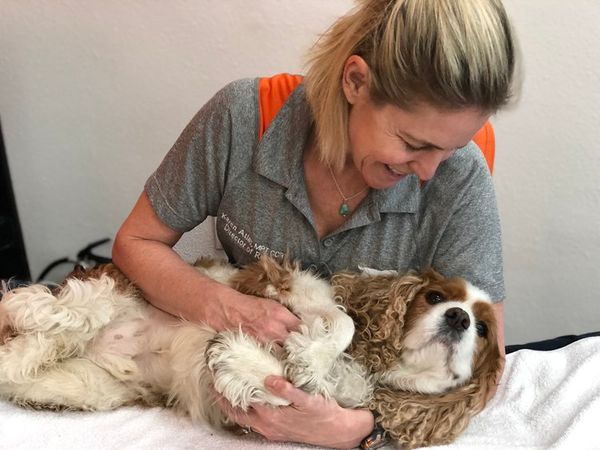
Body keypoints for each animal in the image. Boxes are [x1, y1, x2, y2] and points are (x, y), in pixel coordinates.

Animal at [0, 255, 500, 448]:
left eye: (484, 330)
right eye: (435, 297)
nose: (460, 319)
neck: (371, 367)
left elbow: (279, 388)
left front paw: (241, 360)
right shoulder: (289, 284)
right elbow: (343, 323)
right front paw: (307, 356)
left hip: (87, 385)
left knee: (24, 361)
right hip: (114, 288)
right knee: (69, 309)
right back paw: (30, 306)